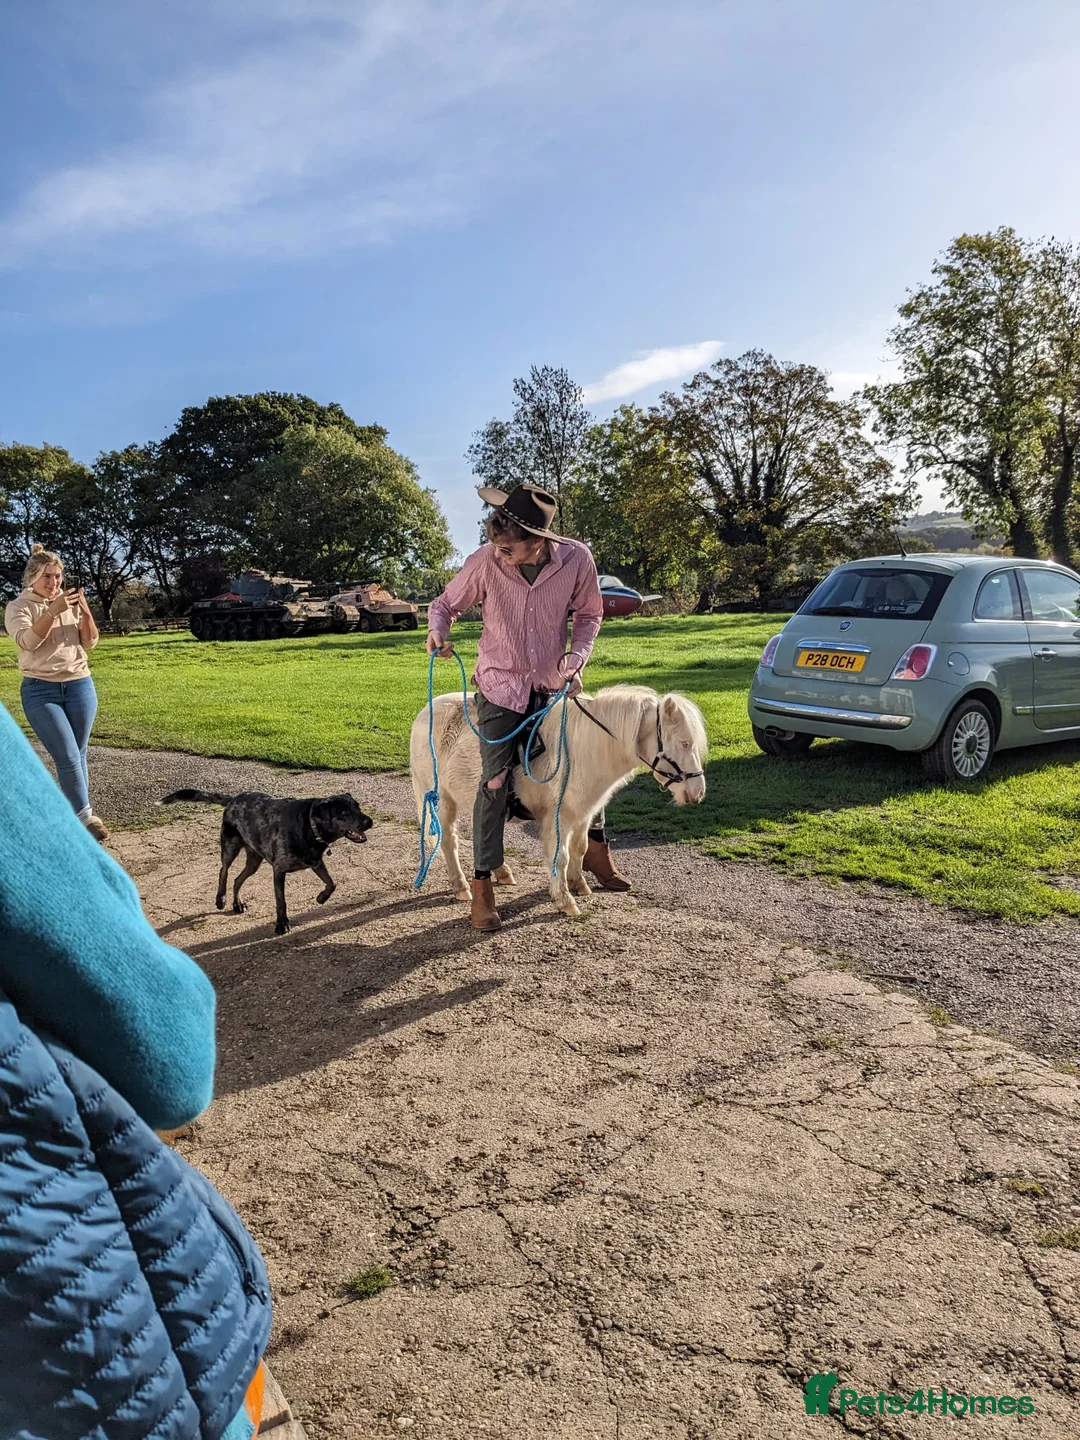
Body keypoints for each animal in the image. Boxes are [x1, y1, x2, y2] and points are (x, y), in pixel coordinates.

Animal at [410, 685, 708, 917]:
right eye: (684, 743)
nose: (697, 793)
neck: (583, 749)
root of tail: (424, 714)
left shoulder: (584, 812)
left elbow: (580, 848)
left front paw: (579, 884)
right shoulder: (558, 817)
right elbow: (560, 856)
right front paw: (565, 900)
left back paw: (502, 873)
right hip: (443, 800)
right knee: (449, 841)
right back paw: (462, 886)